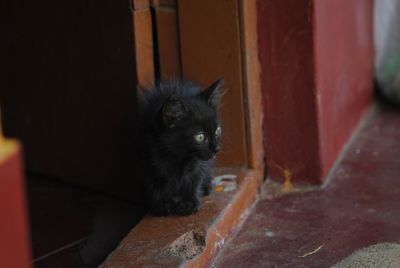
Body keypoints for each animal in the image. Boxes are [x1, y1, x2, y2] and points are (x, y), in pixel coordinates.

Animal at [135, 79, 223, 216]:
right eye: (200, 137)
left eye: (217, 130)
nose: (216, 149)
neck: (177, 156)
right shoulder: (146, 161)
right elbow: (154, 184)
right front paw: (163, 204)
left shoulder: (199, 164)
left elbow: (193, 180)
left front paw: (188, 203)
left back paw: (207, 186)